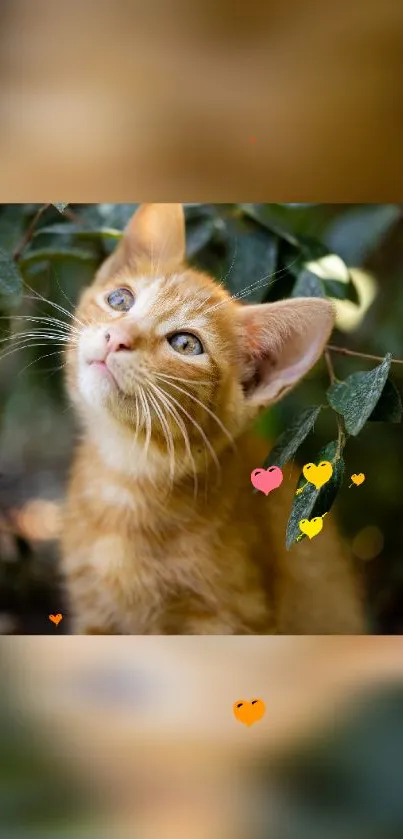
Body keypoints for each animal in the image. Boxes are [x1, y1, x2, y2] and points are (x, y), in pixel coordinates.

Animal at [60, 205, 366, 636]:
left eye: (186, 344)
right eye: (120, 299)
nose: (116, 337)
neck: (126, 475)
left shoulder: (232, 619)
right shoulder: (93, 614)